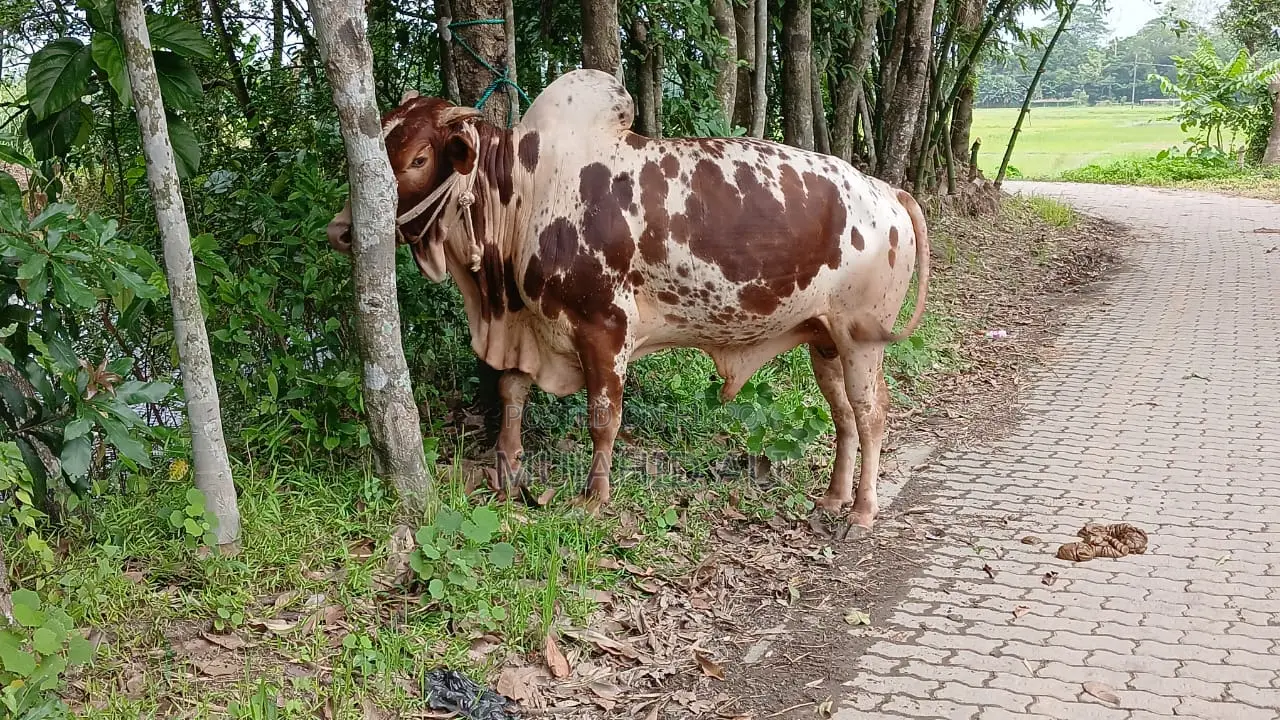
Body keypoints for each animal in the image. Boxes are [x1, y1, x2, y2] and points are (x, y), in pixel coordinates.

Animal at [327, 69, 929, 534]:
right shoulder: (529, 325)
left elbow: (603, 418)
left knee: (872, 414)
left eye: (418, 158)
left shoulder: (603, 328)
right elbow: (512, 393)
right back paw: (833, 497)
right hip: (823, 339)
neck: (525, 191)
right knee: (844, 415)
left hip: (860, 339)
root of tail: (886, 191)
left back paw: (863, 512)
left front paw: (593, 499)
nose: (342, 231)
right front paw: (509, 470)